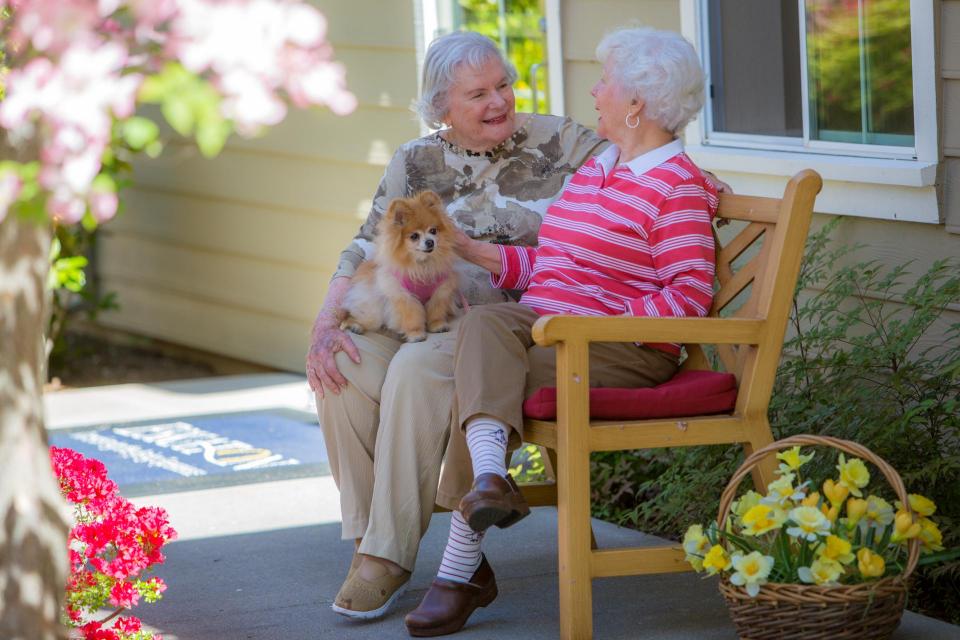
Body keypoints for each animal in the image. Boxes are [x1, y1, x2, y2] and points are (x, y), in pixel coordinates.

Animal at [342, 190, 462, 342]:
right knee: (361, 317)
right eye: (414, 236)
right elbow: (412, 315)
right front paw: (416, 334)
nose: (430, 242)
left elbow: (436, 310)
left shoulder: (440, 290)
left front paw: (437, 325)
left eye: (433, 231)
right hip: (373, 310)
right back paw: (355, 326)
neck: (422, 265)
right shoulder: (402, 295)